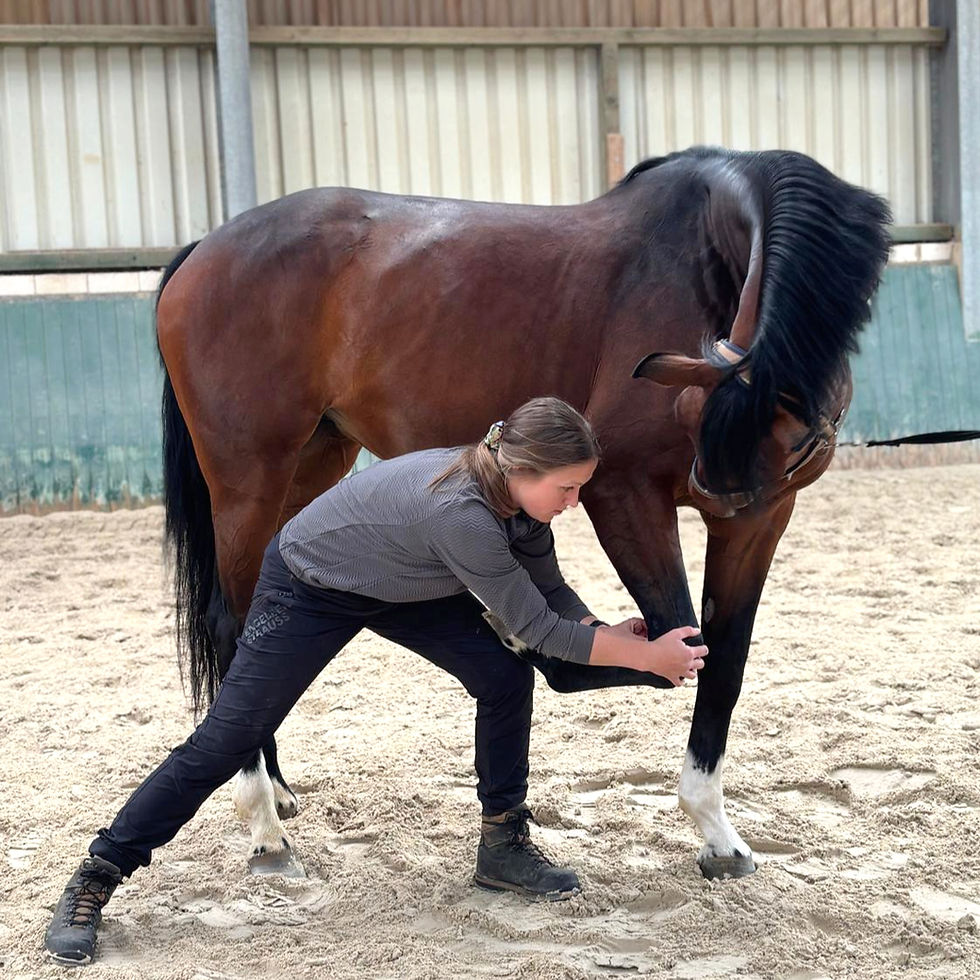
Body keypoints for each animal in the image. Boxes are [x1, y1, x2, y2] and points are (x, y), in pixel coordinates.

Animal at [155, 145, 891, 880]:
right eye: (685, 418)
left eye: (792, 450)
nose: (719, 496)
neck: (703, 257)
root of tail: (203, 249)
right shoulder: (622, 491)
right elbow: (675, 640)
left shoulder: (762, 520)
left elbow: (723, 658)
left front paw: (718, 834)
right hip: (250, 479)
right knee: (233, 624)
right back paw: (264, 823)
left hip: (312, 465)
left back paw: (278, 788)